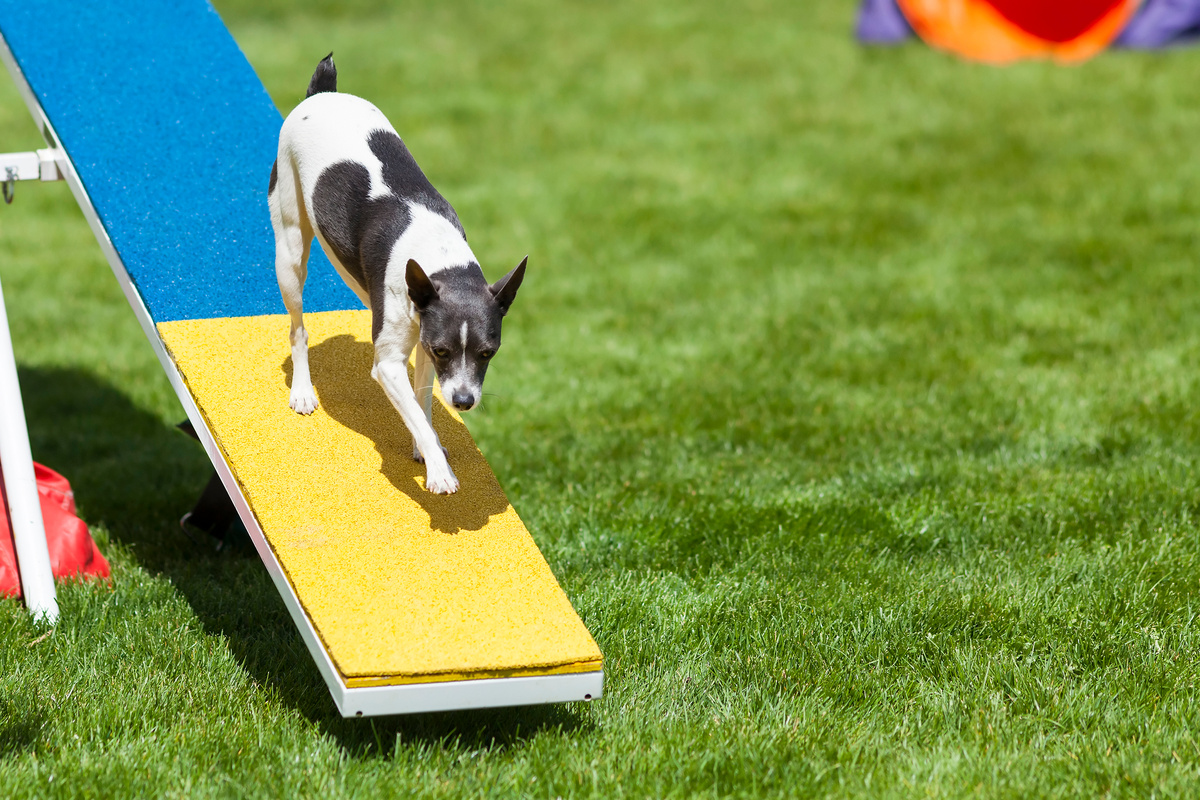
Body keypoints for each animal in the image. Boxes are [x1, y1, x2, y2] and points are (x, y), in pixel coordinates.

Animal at [270, 54, 523, 494]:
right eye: (443, 351)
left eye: (488, 353)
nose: (463, 402)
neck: (440, 260)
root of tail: (322, 94)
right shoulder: (391, 362)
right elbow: (416, 410)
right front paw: (439, 470)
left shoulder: (421, 340)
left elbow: (421, 406)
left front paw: (427, 446)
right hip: (289, 249)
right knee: (297, 327)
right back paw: (302, 391)